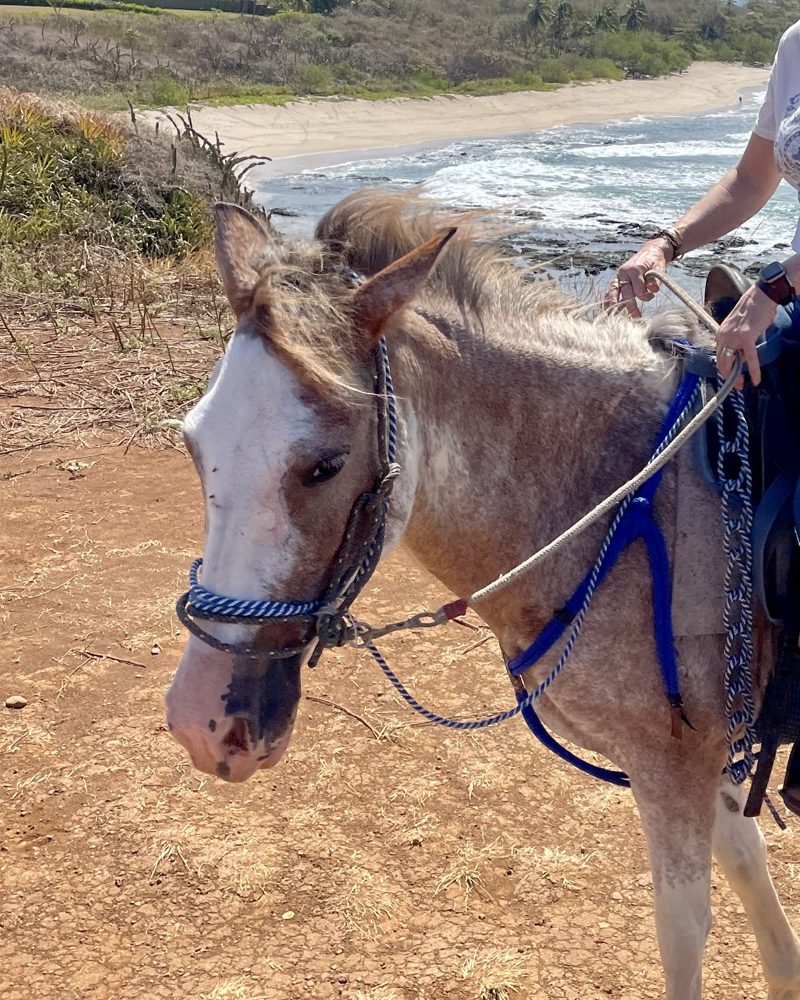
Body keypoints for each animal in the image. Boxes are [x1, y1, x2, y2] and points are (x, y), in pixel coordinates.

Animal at [165, 190, 800, 999]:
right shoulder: (707, 751)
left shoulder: (675, 764)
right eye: (194, 444)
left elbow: (684, 930)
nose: (200, 723)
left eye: (324, 466)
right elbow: (752, 875)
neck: (625, 495)